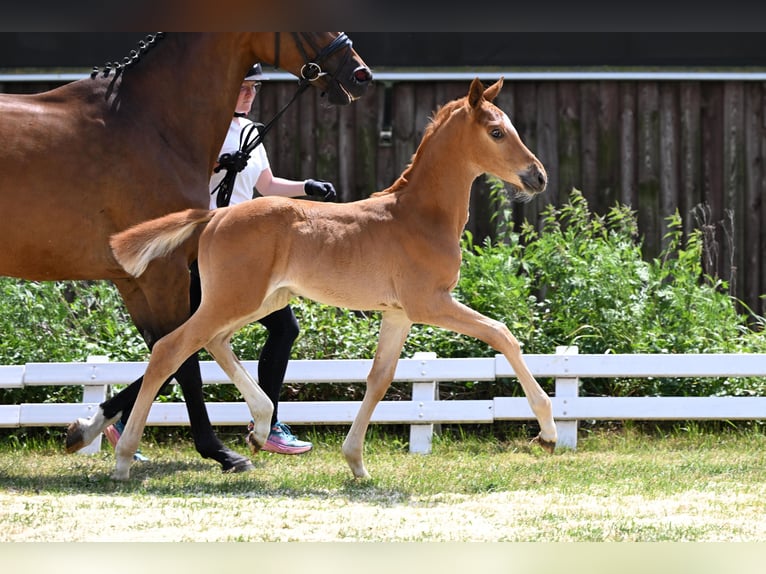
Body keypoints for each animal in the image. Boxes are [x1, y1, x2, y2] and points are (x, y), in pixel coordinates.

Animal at [0, 32, 372, 473]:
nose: (360, 74)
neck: (151, 124)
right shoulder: (165, 272)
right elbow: (183, 361)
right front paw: (220, 451)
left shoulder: (134, 279)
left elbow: (164, 352)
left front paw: (87, 427)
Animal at [105, 77, 557, 481]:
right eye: (496, 132)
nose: (538, 177)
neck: (418, 216)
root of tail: (216, 216)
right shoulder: (430, 303)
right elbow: (502, 334)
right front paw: (548, 432)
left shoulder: (399, 314)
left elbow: (379, 379)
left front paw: (356, 462)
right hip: (233, 299)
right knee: (170, 349)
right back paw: (124, 458)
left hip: (259, 301)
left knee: (213, 342)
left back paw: (261, 427)